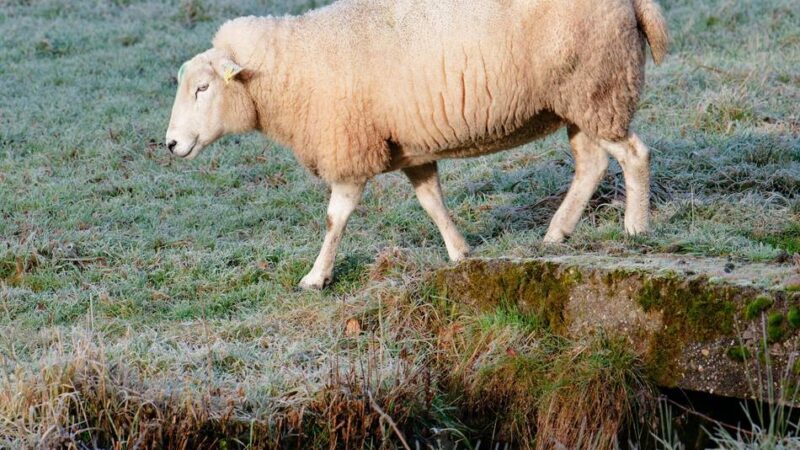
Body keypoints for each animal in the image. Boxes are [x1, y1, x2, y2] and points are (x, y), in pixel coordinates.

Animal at [165, 0, 669, 290]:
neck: (288, 70)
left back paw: (636, 227)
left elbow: (334, 218)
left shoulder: (350, 147)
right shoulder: (410, 148)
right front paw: (460, 253)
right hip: (579, 101)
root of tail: (633, 2)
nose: (170, 144)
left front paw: (316, 277)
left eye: (203, 89)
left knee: (634, 155)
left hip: (598, 87)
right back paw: (556, 233)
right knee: (591, 165)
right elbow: (432, 202)